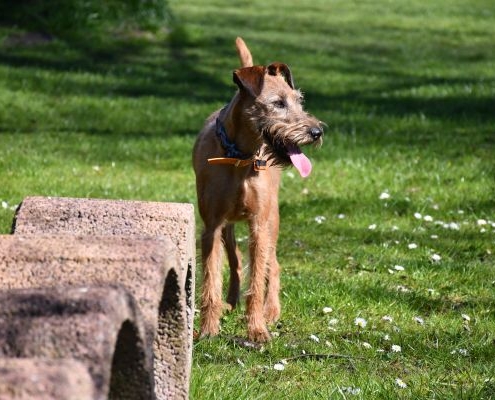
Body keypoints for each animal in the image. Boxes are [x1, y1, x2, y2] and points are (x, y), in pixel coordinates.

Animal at [192, 37, 324, 340]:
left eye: (299, 101)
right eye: (278, 103)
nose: (317, 132)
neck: (239, 158)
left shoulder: (259, 224)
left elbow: (257, 282)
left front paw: (256, 329)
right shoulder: (212, 226)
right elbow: (211, 280)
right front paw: (208, 330)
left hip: (272, 220)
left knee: (272, 266)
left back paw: (271, 310)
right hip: (228, 228)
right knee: (236, 261)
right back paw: (230, 303)